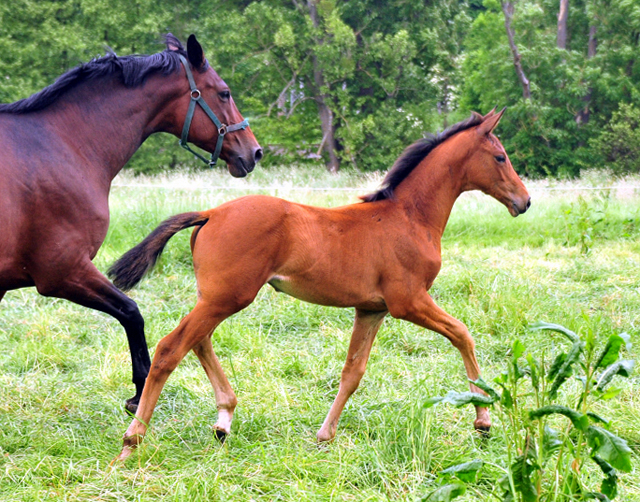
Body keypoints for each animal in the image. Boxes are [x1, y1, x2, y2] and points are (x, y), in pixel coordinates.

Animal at [0, 34, 262, 412]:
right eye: (224, 92)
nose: (254, 152)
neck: (62, 145)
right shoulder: (62, 271)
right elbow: (132, 312)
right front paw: (141, 392)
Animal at [110, 109, 528, 458]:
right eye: (500, 157)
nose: (523, 201)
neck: (409, 217)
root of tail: (211, 212)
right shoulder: (407, 301)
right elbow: (463, 334)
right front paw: (483, 420)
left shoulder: (371, 309)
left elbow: (353, 372)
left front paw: (325, 435)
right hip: (226, 298)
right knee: (172, 347)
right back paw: (132, 441)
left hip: (215, 297)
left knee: (199, 341)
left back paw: (223, 420)